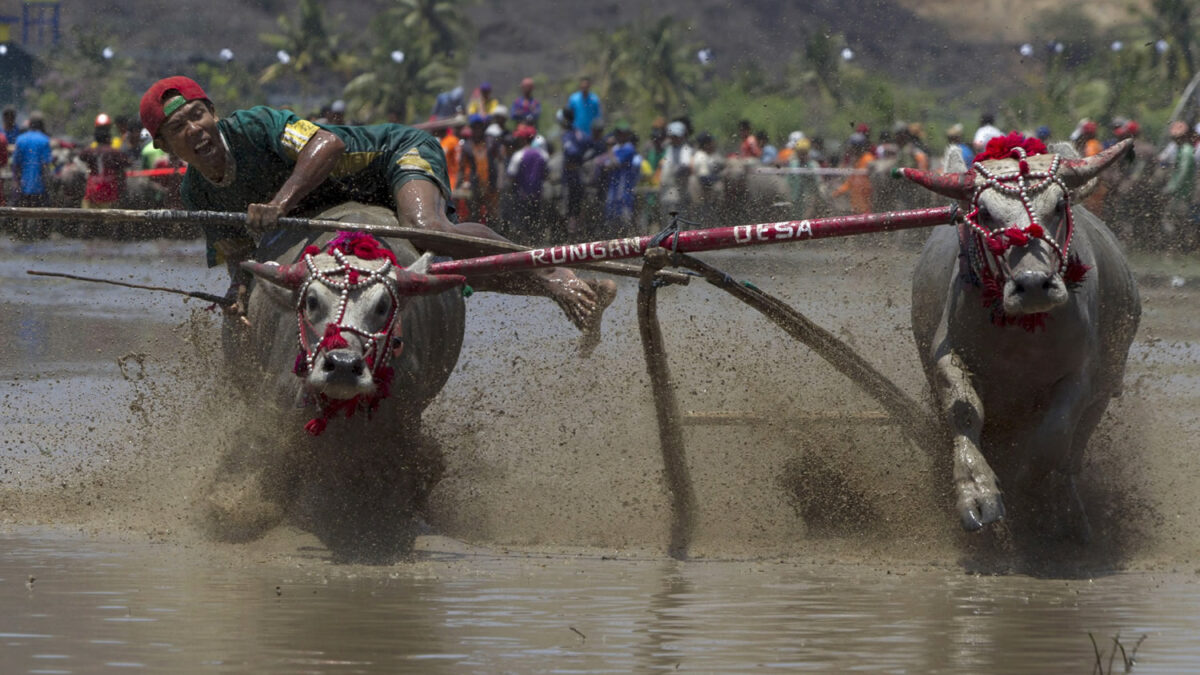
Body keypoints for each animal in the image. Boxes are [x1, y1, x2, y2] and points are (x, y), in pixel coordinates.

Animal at [902, 136, 1142, 540]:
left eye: (1059, 205)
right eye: (984, 212)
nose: (1032, 285)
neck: (1022, 340)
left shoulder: (1082, 376)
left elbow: (1054, 436)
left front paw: (1030, 490)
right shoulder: (946, 356)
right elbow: (964, 410)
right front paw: (977, 492)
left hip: (1107, 385)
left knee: (1074, 451)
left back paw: (1069, 512)